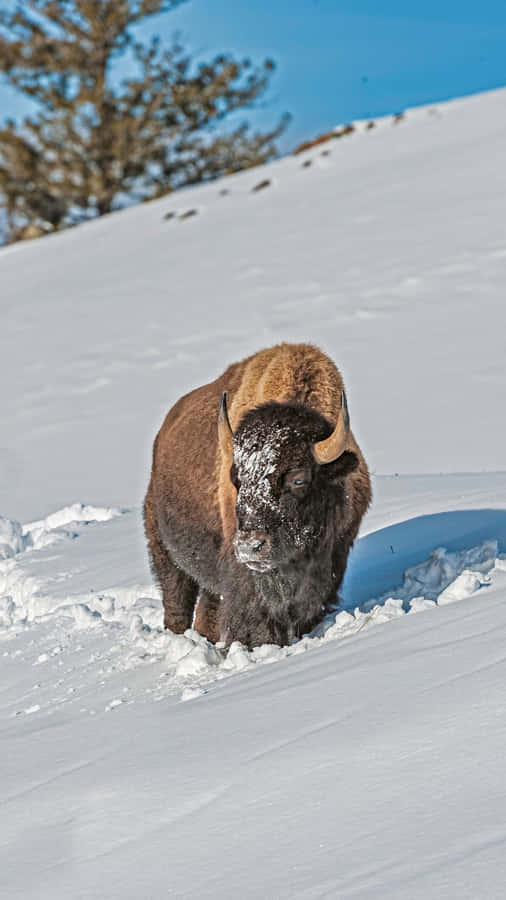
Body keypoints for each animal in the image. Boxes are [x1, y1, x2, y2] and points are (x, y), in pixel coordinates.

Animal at [144, 343, 371, 649]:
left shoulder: (334, 557)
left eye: (298, 479)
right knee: (177, 602)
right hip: (165, 553)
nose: (250, 547)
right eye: (237, 479)